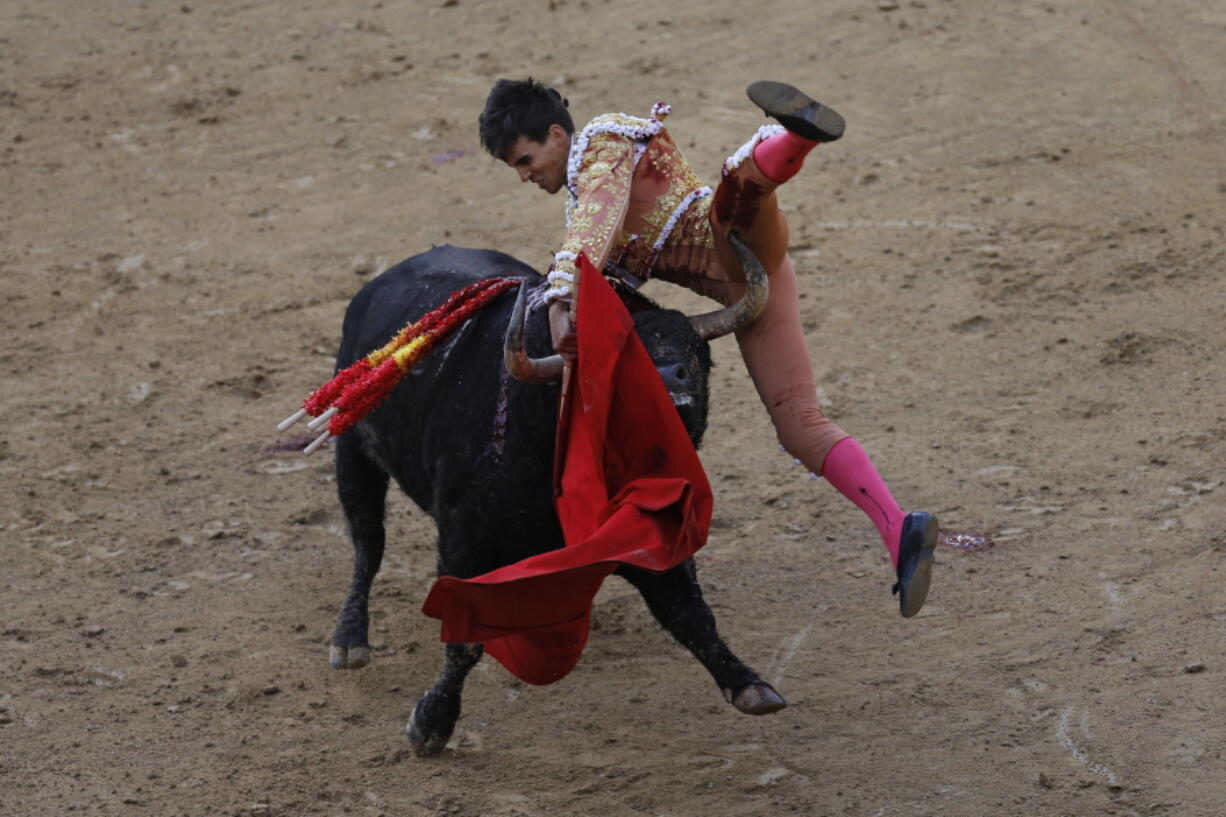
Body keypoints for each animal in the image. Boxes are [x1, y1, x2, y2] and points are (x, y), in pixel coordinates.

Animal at [326, 242, 784, 755]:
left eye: (696, 351)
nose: (671, 376)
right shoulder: (466, 543)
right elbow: (464, 640)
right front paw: (431, 724)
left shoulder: (652, 534)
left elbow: (689, 612)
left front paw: (748, 684)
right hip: (352, 451)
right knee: (368, 542)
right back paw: (350, 641)